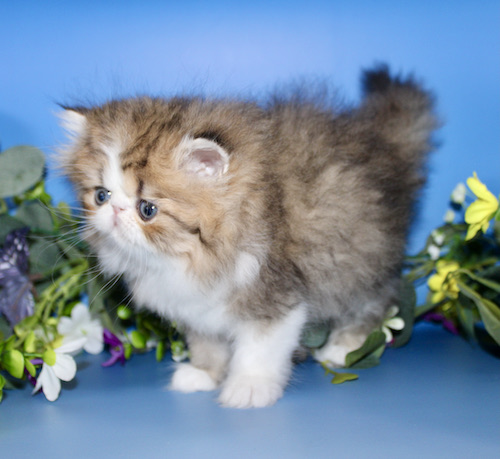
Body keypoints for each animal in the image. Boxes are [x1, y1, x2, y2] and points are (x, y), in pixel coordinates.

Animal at [58, 65, 437, 408]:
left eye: (147, 209)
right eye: (101, 196)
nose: (115, 212)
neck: (183, 261)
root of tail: (385, 145)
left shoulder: (274, 296)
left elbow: (259, 349)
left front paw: (249, 387)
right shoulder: (197, 306)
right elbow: (207, 342)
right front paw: (203, 373)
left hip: (356, 255)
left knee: (379, 297)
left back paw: (345, 346)